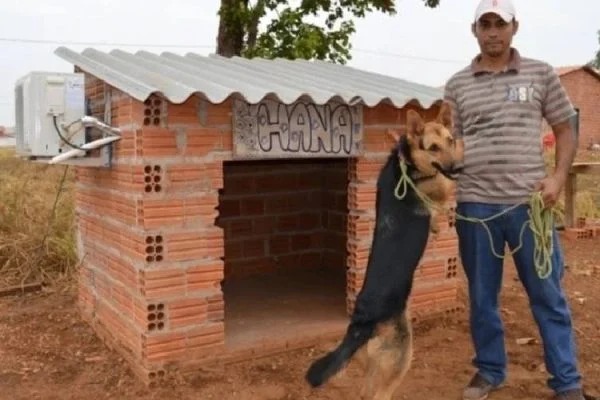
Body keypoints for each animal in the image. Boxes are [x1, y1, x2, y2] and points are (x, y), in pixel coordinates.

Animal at [302, 104, 462, 400]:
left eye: (450, 141)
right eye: (433, 148)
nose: (458, 167)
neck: (407, 164)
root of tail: (360, 325)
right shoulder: (441, 186)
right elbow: (446, 188)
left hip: (373, 363)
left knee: (366, 392)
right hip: (401, 354)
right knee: (380, 393)